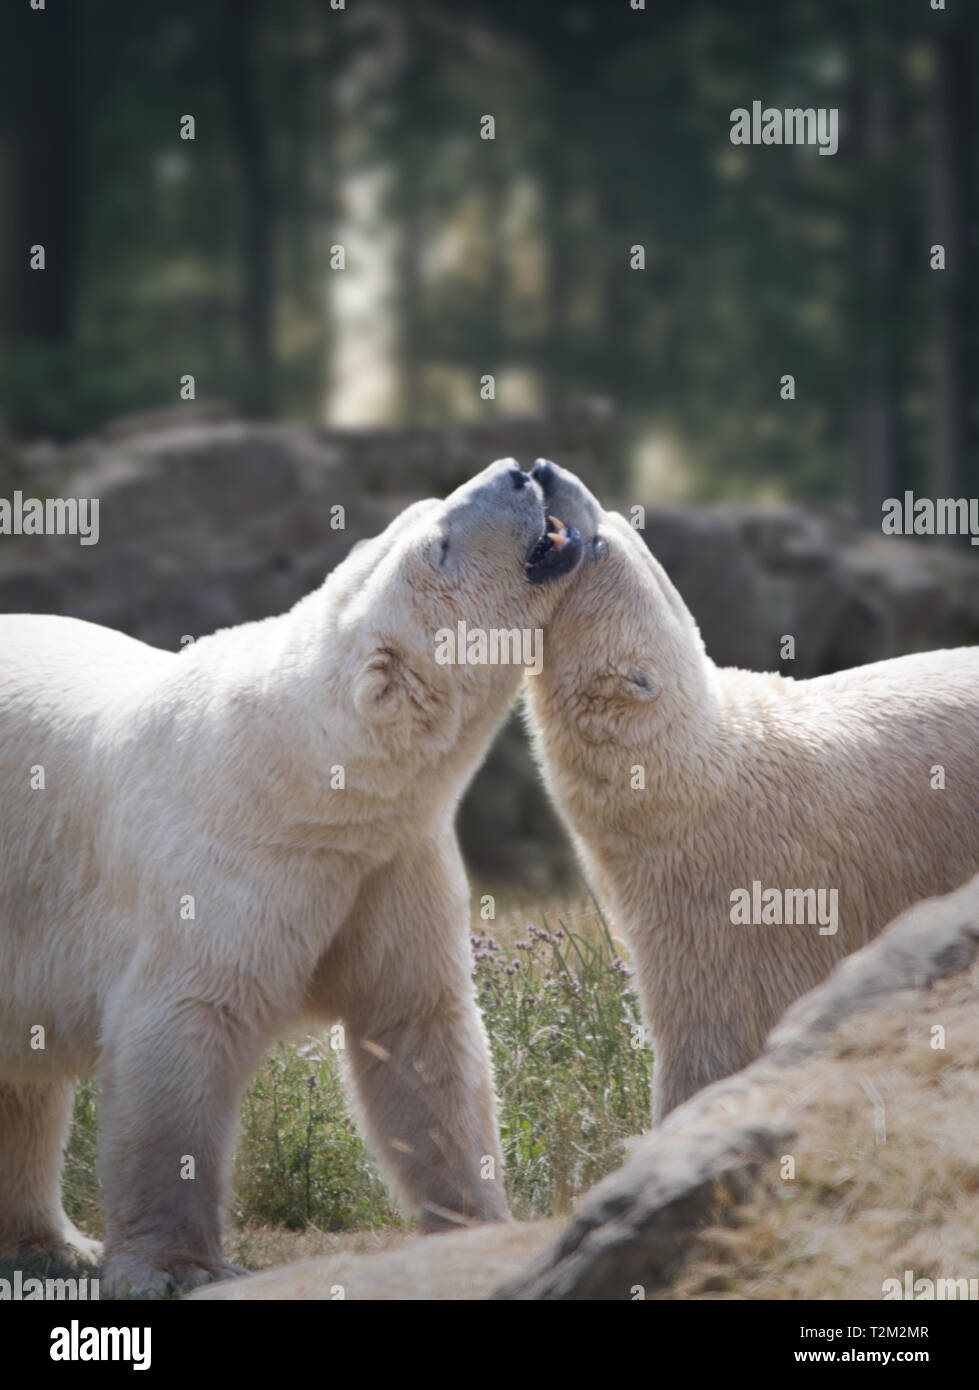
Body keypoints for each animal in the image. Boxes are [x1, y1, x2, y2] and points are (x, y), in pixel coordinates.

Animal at [0, 461, 581, 1295]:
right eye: (439, 540)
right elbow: (182, 1030)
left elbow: (417, 1027)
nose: (520, 471)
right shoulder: (230, 860)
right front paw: (178, 1266)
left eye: (429, 511)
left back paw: (51, 1241)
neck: (309, 783)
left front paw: (477, 1220)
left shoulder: (390, 861)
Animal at [520, 461, 979, 1123]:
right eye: (609, 517)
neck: (685, 778)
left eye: (600, 541)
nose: (547, 470)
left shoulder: (724, 911)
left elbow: (707, 1048)